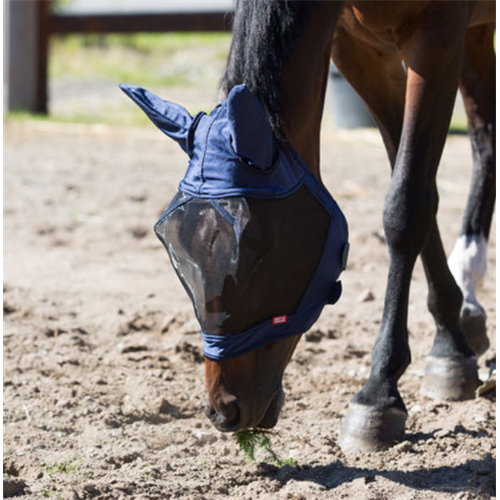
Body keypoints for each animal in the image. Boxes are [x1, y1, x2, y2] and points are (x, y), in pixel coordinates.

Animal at [123, 0, 494, 454]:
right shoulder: (359, 51)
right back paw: (469, 305)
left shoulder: (438, 35)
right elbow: (415, 184)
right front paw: (450, 345)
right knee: (485, 138)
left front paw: (379, 393)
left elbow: (406, 206)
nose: (224, 410)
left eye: (257, 253)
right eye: (174, 248)